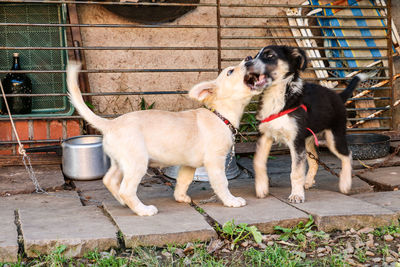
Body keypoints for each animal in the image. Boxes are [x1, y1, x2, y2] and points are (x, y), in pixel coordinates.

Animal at [68, 60, 262, 216]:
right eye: (230, 71)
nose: (249, 58)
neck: (220, 115)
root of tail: (111, 124)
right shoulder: (215, 161)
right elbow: (222, 183)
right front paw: (231, 201)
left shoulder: (188, 165)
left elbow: (183, 181)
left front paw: (181, 197)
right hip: (137, 162)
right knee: (126, 190)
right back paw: (143, 210)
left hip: (121, 162)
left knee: (109, 180)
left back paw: (124, 203)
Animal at [244, 45, 366, 203]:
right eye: (254, 55)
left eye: (270, 55)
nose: (247, 62)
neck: (277, 96)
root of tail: (338, 96)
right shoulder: (265, 135)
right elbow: (258, 162)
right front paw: (261, 188)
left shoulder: (296, 141)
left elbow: (295, 172)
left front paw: (296, 195)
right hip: (307, 139)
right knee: (315, 160)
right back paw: (307, 182)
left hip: (334, 136)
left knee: (347, 155)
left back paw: (345, 183)